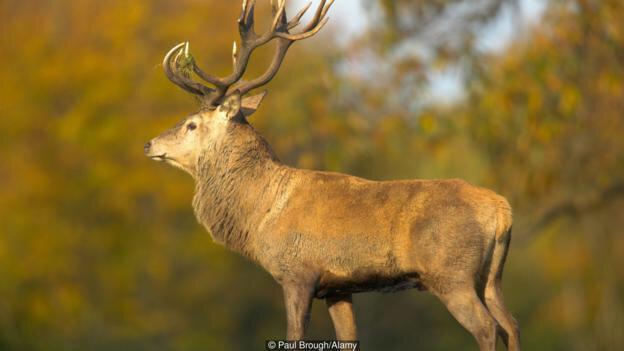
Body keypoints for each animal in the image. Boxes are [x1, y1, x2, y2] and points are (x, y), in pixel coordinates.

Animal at [144, 1, 520, 350]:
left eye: (192, 124)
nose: (150, 143)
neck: (261, 214)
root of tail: (502, 210)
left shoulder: (298, 273)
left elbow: (294, 337)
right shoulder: (338, 287)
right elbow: (348, 339)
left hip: (451, 273)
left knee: (488, 327)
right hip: (490, 277)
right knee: (511, 324)